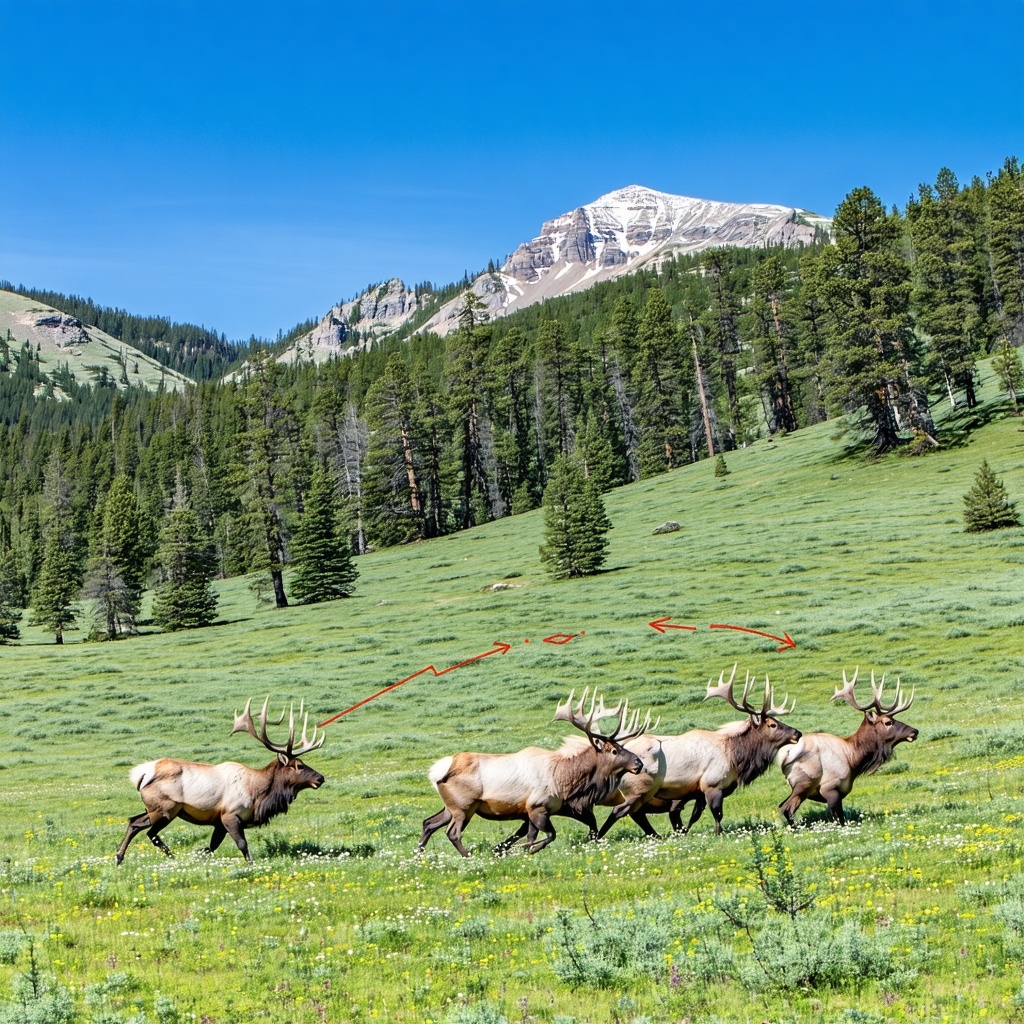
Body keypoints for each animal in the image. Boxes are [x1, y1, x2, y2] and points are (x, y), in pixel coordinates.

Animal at [115, 697, 326, 864]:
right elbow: (242, 844)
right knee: (147, 830)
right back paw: (163, 856)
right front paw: (251, 865)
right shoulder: (229, 815)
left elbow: (211, 847)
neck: (259, 794)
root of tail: (142, 774)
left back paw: (120, 857)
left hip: (154, 808)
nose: (321, 778)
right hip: (166, 809)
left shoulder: (218, 822)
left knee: (134, 821)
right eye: (299, 766)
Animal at [417, 689, 653, 856]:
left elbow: (586, 828)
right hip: (464, 807)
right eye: (614, 750)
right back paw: (468, 857)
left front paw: (512, 849)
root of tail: (436, 772)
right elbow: (549, 836)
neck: (569, 783)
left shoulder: (553, 808)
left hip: (451, 807)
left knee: (428, 823)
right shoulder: (537, 807)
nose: (638, 763)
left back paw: (418, 854)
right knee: (452, 833)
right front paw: (521, 849)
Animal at [597, 665, 801, 839]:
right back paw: (598, 837)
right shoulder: (712, 784)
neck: (735, 757)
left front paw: (684, 832)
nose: (797, 733)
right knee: (622, 811)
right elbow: (717, 814)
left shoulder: (698, 791)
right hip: (640, 788)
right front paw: (718, 835)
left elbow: (693, 817)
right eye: (773, 724)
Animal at [777, 668, 917, 826]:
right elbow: (839, 818)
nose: (915, 731)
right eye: (888, 722)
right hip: (804, 783)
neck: (854, 760)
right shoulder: (830, 788)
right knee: (785, 808)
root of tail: (784, 758)